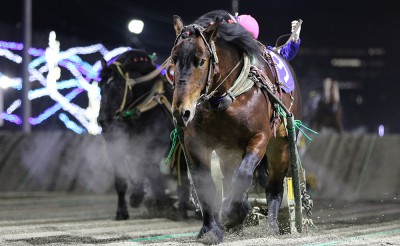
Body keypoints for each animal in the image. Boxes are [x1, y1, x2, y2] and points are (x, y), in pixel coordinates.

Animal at [97, 49, 190, 221]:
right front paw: (122, 211)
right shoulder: (115, 147)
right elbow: (121, 181)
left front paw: (137, 196)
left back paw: (181, 209)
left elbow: (144, 168)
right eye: (100, 85)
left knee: (183, 178)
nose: (103, 121)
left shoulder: (154, 147)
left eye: (119, 85)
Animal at [169, 10, 304, 243]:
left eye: (201, 61)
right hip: (228, 151)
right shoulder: (196, 144)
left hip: (281, 145)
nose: (181, 111)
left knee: (274, 185)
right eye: (174, 59)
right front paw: (210, 229)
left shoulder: (260, 137)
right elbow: (204, 184)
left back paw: (270, 225)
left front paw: (234, 213)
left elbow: (244, 175)